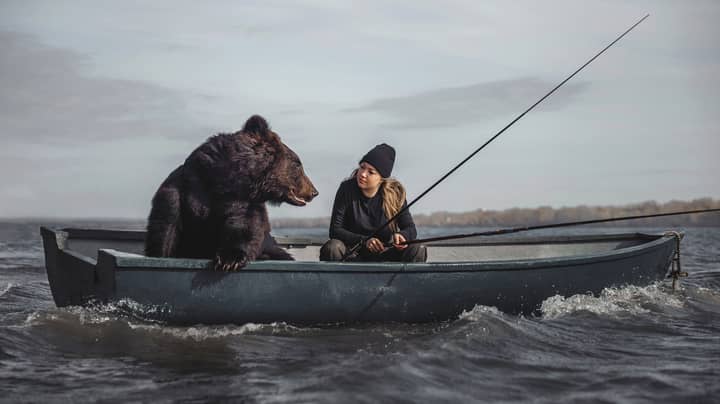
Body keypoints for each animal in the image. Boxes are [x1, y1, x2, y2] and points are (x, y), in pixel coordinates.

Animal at [143, 115, 318, 270]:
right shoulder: (181, 191)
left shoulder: (241, 200)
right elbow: (165, 231)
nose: (314, 191)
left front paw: (230, 259)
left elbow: (243, 226)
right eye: (298, 164)